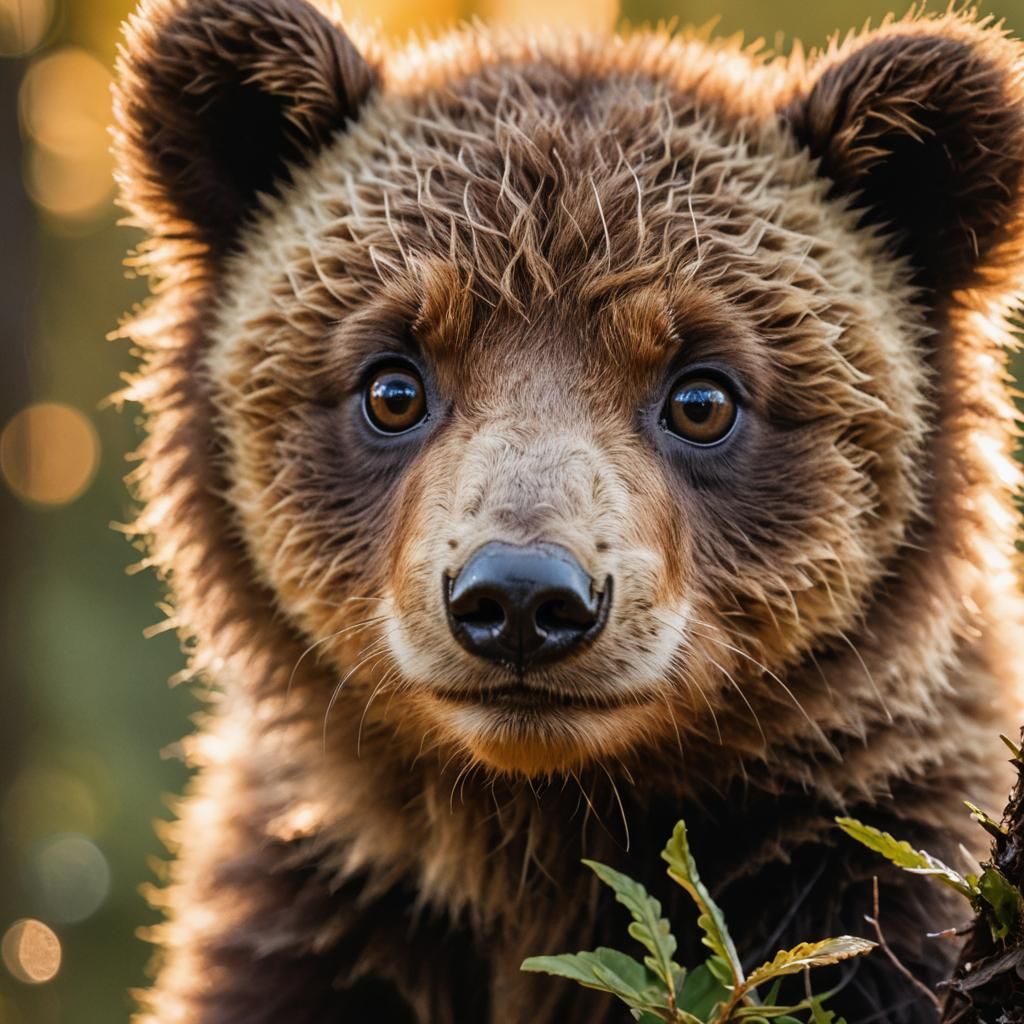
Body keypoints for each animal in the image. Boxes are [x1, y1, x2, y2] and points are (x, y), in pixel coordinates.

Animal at [112, 1, 1024, 1021]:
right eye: (393, 385)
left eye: (701, 397)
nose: (520, 598)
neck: (535, 832)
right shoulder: (320, 916)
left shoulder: (861, 874)